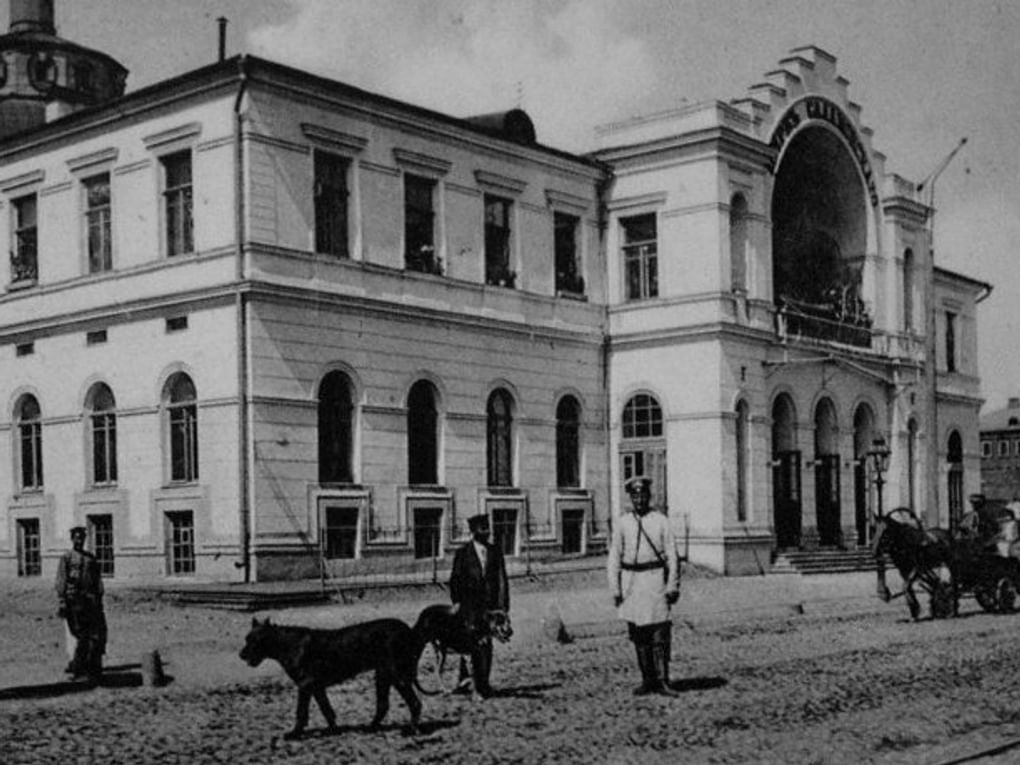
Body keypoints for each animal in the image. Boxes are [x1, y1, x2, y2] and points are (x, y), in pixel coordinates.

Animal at [240, 616, 420, 738]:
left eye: (255, 640)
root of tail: (407, 629)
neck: (286, 644)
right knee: (383, 705)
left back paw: (411, 730)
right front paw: (334, 730)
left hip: (397, 675)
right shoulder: (316, 687)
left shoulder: (305, 685)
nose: (241, 655)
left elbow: (301, 712)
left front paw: (295, 733)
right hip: (383, 675)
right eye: (246, 638)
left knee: (415, 703)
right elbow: (326, 709)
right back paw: (370, 727)